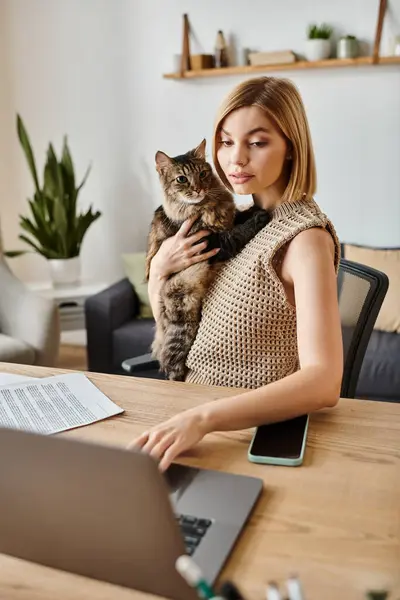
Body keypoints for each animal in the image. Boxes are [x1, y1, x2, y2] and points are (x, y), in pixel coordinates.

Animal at [145, 139, 270, 382]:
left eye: (203, 174)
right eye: (182, 179)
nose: (199, 189)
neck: (208, 204)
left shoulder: (227, 218)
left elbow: (238, 215)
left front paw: (253, 209)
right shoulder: (211, 242)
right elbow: (237, 233)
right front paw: (260, 216)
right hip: (182, 304)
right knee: (170, 361)